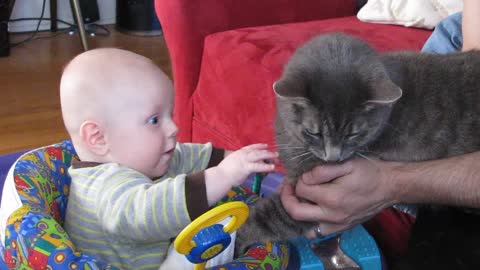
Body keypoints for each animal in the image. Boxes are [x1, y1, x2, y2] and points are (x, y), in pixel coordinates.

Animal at [235, 32, 480, 268]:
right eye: (315, 132)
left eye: (353, 134)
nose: (333, 158)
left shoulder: (307, 196)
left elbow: (266, 218)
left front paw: (238, 242)